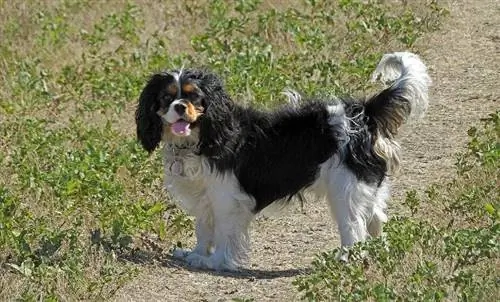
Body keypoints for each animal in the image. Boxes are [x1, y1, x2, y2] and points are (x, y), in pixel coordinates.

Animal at [136, 52, 430, 272]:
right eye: (166, 98)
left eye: (193, 97)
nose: (179, 106)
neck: (201, 137)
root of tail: (364, 112)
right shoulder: (205, 196)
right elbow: (204, 228)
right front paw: (197, 255)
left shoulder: (226, 198)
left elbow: (223, 232)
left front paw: (217, 262)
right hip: (364, 187)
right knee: (376, 219)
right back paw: (380, 253)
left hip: (344, 190)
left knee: (354, 228)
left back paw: (346, 260)